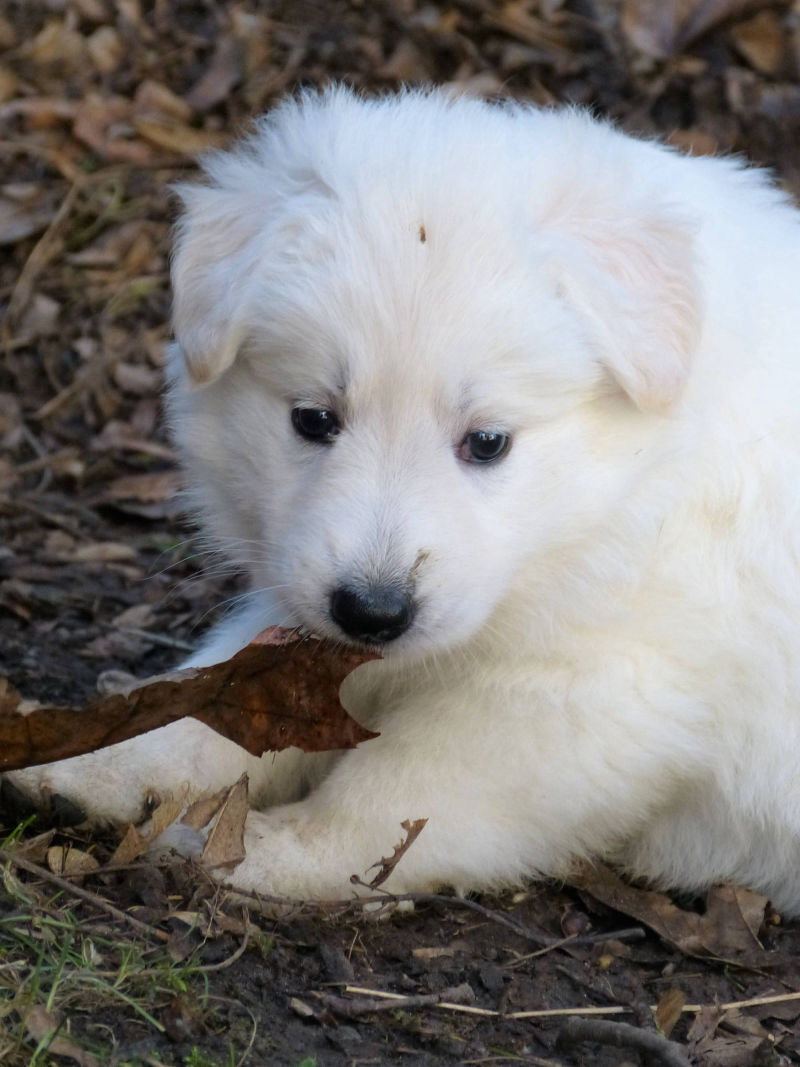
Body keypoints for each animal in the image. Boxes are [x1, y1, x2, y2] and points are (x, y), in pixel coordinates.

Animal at [9, 87, 800, 913]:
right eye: (313, 419)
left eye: (488, 441)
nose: (372, 611)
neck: (629, 492)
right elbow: (216, 692)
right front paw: (100, 759)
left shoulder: (588, 692)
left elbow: (403, 787)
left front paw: (267, 849)